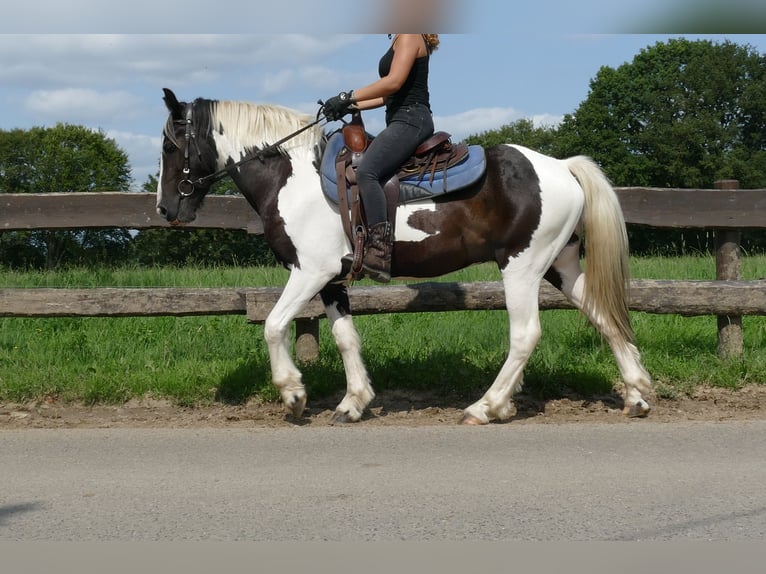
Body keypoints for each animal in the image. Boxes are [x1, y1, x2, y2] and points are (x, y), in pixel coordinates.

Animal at [156, 88, 656, 426]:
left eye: (167, 146)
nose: (166, 210)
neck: (291, 177)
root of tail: (563, 167)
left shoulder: (309, 271)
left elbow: (274, 325)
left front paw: (294, 394)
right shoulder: (332, 279)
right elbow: (346, 339)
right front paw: (353, 402)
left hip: (523, 266)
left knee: (525, 335)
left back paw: (487, 406)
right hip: (560, 266)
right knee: (604, 315)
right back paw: (636, 395)